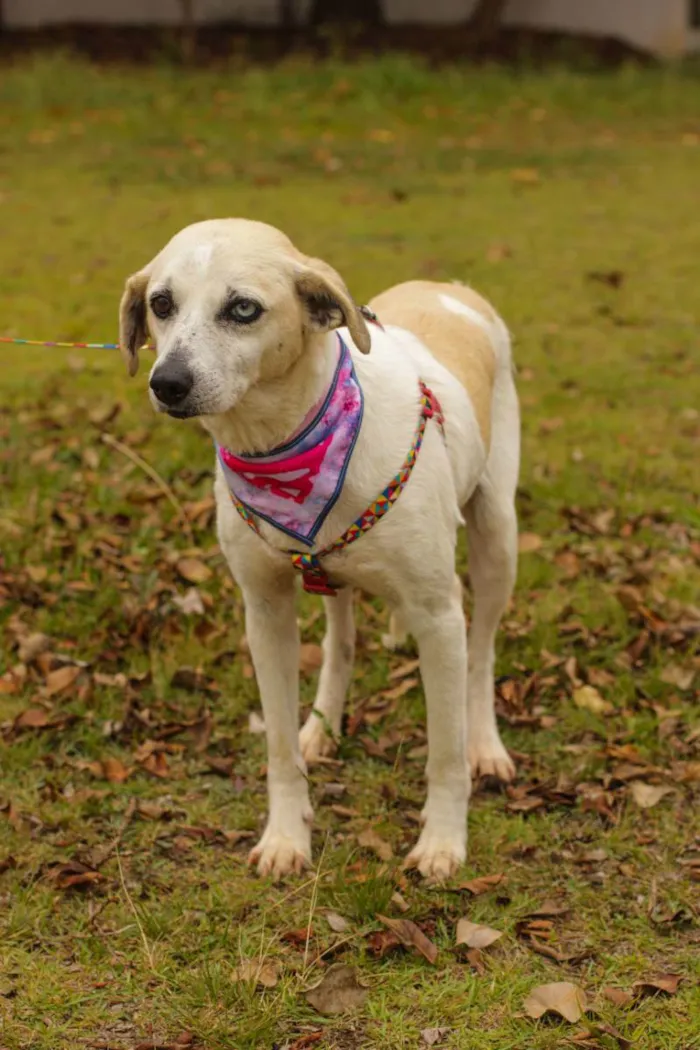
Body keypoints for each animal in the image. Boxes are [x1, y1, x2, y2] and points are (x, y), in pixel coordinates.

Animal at [119, 217, 520, 881]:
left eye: (243, 308)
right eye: (161, 304)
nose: (167, 382)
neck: (286, 443)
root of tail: (450, 287)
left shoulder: (440, 617)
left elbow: (444, 752)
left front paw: (442, 842)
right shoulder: (265, 612)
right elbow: (279, 748)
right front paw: (287, 837)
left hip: (498, 538)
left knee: (482, 652)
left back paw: (486, 744)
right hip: (334, 575)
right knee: (342, 641)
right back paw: (324, 726)